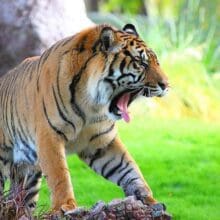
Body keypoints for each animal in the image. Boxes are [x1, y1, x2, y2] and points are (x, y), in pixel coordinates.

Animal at [0, 23, 168, 214]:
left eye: (156, 62)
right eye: (141, 63)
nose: (166, 85)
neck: (91, 104)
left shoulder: (101, 143)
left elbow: (128, 168)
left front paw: (148, 198)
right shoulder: (49, 136)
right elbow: (59, 174)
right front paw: (65, 206)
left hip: (29, 175)